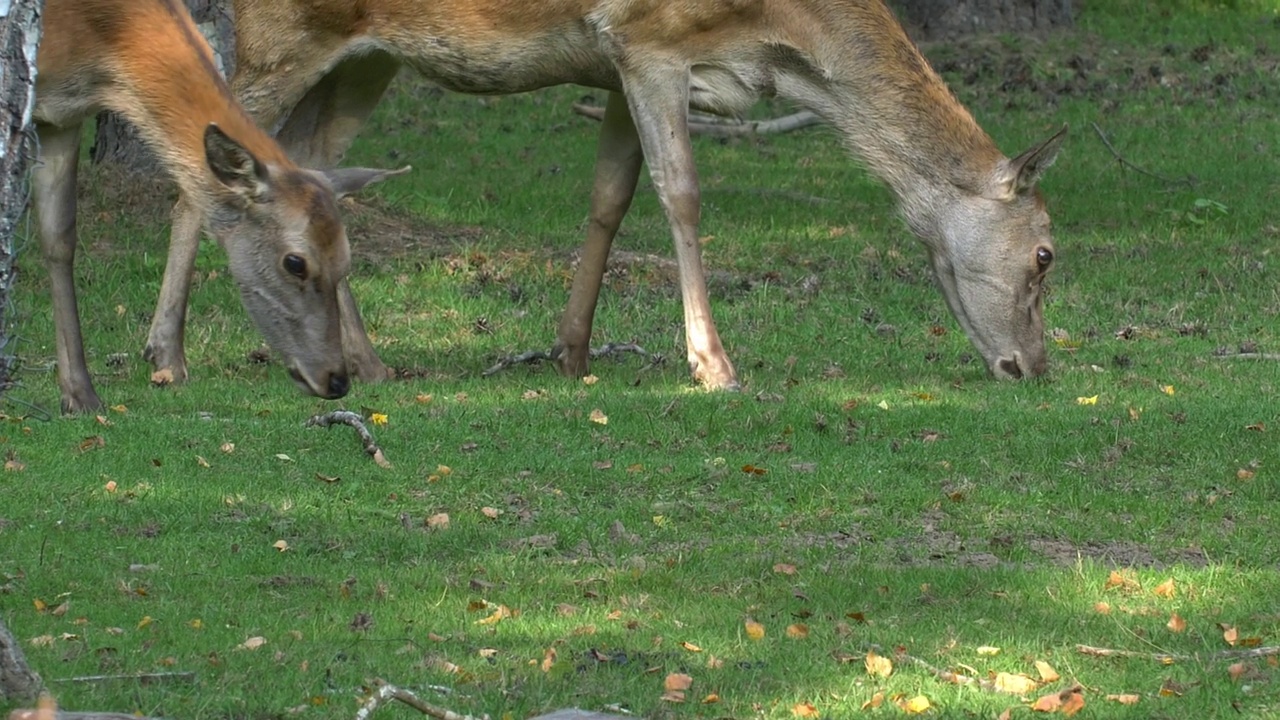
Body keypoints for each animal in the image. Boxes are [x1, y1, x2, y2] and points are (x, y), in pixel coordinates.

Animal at [32, 0, 399, 415]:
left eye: (346, 261)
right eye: (295, 262)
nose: (337, 381)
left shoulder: (61, 119)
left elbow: (59, 240)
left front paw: (81, 395)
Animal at [154, 0, 1064, 389]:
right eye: (1047, 253)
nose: (1034, 365)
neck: (787, 43)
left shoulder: (619, 67)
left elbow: (611, 198)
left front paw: (573, 350)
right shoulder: (650, 40)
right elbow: (681, 194)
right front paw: (713, 364)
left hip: (363, 58)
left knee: (304, 173)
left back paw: (370, 362)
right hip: (282, 35)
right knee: (198, 176)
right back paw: (167, 355)